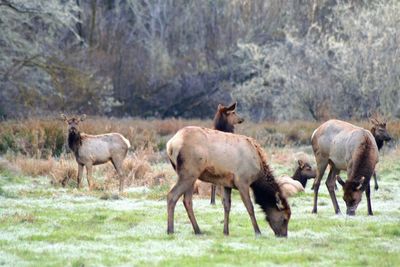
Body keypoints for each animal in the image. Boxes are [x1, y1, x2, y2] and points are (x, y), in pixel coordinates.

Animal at [166, 126, 296, 238]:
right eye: (285, 218)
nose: (283, 236)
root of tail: (170, 145)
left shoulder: (226, 183)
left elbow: (227, 206)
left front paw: (226, 231)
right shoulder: (242, 181)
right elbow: (250, 207)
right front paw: (258, 232)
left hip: (191, 175)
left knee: (187, 201)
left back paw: (198, 230)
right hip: (189, 172)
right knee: (172, 195)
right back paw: (170, 230)